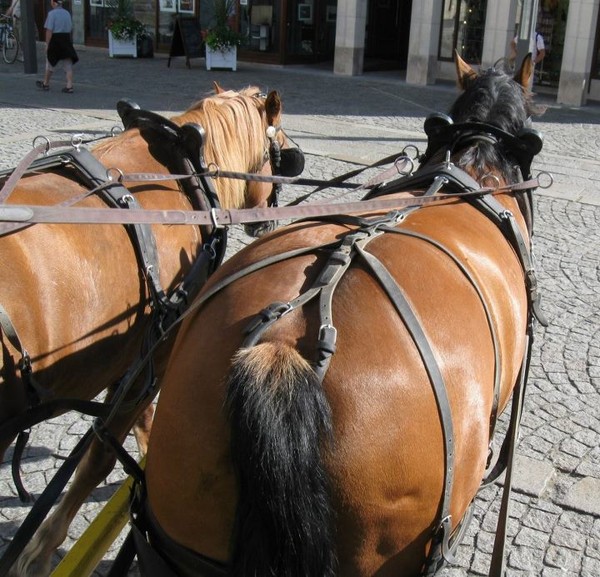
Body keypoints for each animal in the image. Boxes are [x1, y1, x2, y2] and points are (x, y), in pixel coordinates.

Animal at [0, 85, 304, 576]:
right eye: (279, 155)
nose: (269, 219)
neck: (182, 170)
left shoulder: (142, 355)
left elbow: (138, 425)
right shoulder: (158, 351)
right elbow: (101, 454)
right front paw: (40, 550)